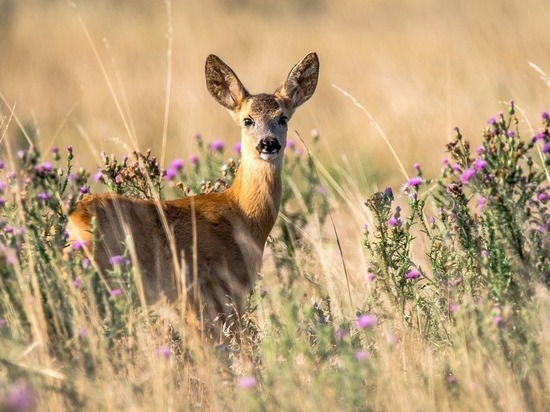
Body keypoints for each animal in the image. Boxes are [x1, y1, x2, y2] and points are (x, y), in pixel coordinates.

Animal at [68, 51, 320, 338]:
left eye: (283, 118)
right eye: (248, 120)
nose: (268, 144)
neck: (242, 214)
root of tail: (74, 219)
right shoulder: (215, 290)